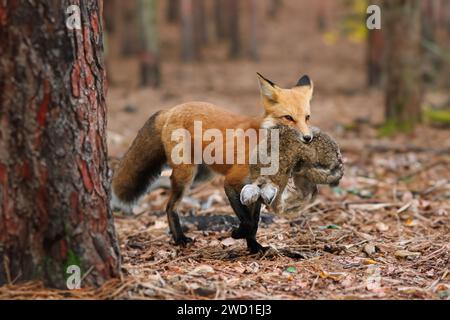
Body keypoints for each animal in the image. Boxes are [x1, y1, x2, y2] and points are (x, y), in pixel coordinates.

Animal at [112, 74, 314, 254]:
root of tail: (171, 109)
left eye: (307, 117)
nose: (308, 138)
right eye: (288, 118)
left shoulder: (257, 188)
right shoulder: (231, 182)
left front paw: (254, 247)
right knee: (170, 205)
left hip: (200, 177)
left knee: (165, 183)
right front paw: (238, 234)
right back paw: (179, 238)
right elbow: (247, 221)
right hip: (187, 173)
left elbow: (254, 222)